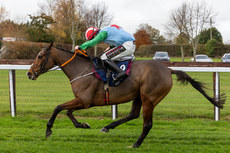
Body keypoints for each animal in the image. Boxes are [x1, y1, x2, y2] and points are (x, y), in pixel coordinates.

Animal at [26, 42, 225, 148]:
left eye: (40, 56)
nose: (29, 73)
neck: (81, 70)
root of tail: (168, 69)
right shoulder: (82, 101)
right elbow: (67, 111)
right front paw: (83, 124)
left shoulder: (85, 101)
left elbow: (58, 107)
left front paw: (48, 130)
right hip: (138, 96)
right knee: (133, 114)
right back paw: (107, 127)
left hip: (149, 98)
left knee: (147, 123)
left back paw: (135, 144)